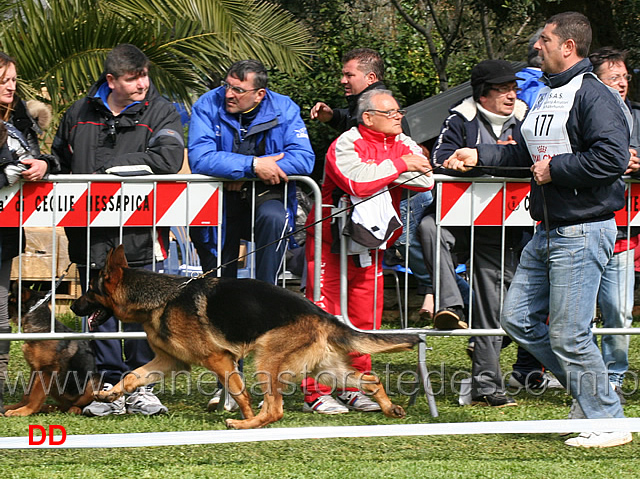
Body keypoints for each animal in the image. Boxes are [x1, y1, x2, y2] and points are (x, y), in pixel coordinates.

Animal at [4, 284, 101, 416]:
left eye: (9, 301)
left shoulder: (47, 370)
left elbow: (35, 395)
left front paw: (25, 411)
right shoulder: (34, 369)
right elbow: (27, 393)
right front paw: (17, 407)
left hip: (93, 381)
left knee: (80, 405)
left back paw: (74, 409)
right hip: (56, 386)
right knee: (64, 405)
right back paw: (49, 407)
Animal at [71, 248, 420, 432]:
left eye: (89, 291)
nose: (73, 306)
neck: (162, 297)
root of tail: (324, 315)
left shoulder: (220, 360)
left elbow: (239, 394)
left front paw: (245, 417)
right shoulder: (169, 360)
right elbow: (132, 376)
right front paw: (109, 394)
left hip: (267, 361)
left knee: (276, 409)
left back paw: (243, 426)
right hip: (325, 369)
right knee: (370, 379)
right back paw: (390, 409)